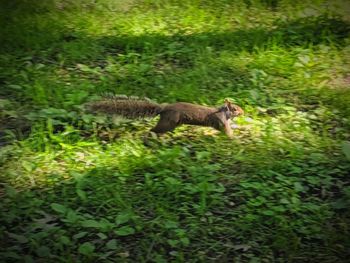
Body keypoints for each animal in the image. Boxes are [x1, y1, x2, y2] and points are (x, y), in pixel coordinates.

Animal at [87, 96, 243, 139]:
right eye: (235, 109)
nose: (242, 112)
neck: (224, 113)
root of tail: (163, 109)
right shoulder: (222, 121)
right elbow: (227, 131)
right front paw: (234, 139)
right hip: (168, 123)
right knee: (153, 130)